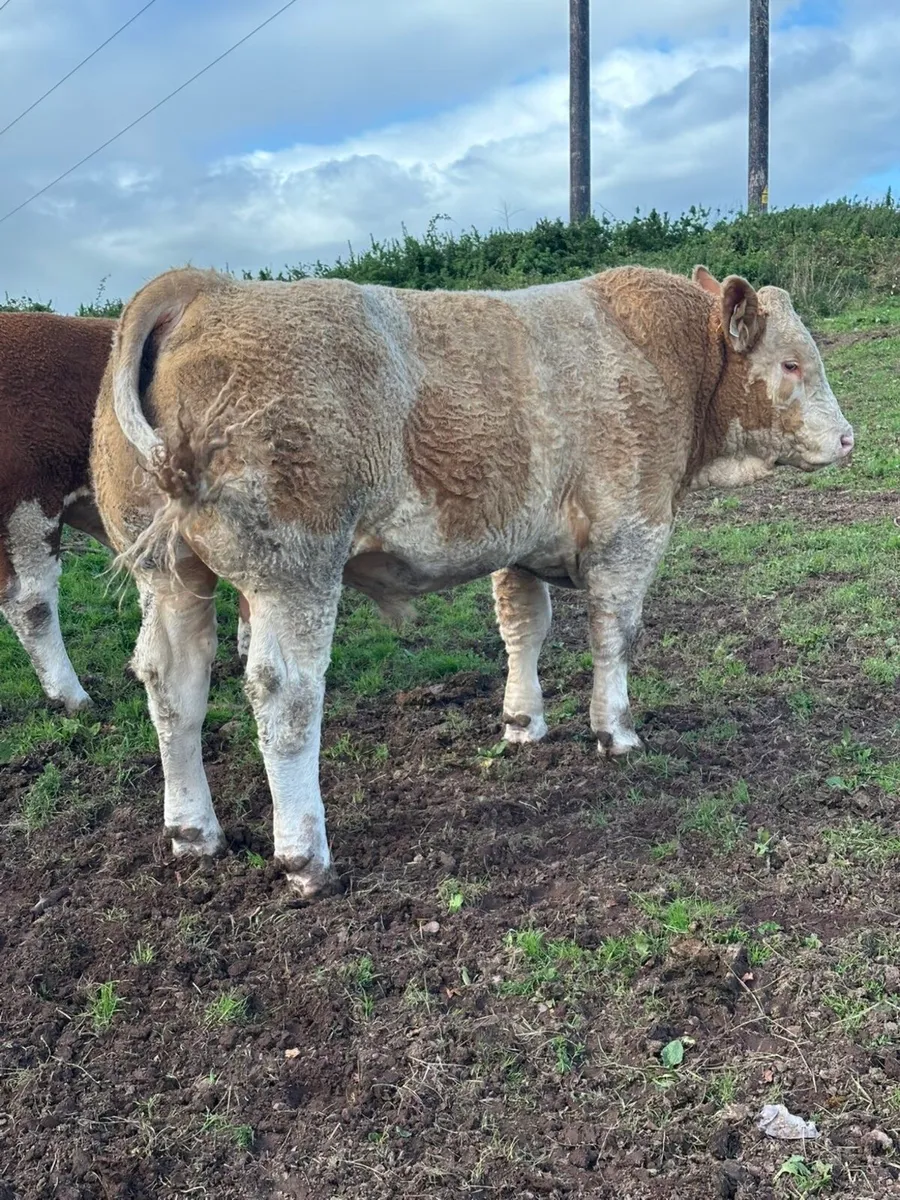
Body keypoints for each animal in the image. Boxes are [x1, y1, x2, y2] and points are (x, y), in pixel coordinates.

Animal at [90, 263, 854, 898]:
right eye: (790, 364)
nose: (848, 438)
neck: (662, 357)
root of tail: (202, 286)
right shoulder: (630, 532)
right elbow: (616, 637)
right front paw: (616, 731)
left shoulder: (521, 541)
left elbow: (524, 628)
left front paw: (522, 722)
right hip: (293, 571)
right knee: (285, 698)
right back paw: (307, 856)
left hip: (170, 573)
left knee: (172, 685)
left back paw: (194, 833)